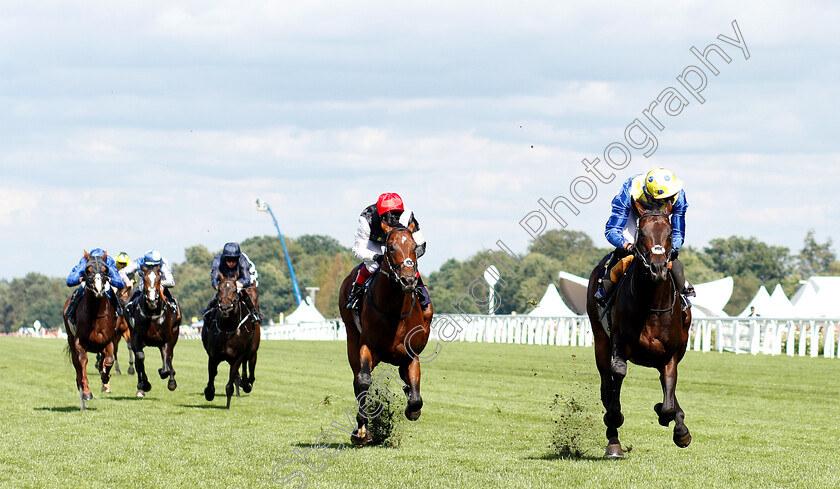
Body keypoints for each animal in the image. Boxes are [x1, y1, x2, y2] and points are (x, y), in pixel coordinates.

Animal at [63, 252, 119, 408]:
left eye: (105, 270)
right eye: (88, 270)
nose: (99, 288)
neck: (95, 314)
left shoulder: (109, 340)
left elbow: (109, 360)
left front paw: (105, 378)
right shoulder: (79, 341)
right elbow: (82, 361)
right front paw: (87, 391)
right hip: (70, 339)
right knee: (77, 364)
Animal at [130, 264, 181, 396]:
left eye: (159, 279)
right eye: (144, 278)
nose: (152, 300)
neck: (152, 314)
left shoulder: (166, 340)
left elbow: (165, 364)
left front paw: (167, 377)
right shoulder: (136, 337)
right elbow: (140, 358)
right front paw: (145, 383)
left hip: (174, 333)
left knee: (169, 357)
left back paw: (171, 379)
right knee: (139, 360)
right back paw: (141, 385)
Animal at [201, 270, 260, 408]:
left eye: (234, 291)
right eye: (219, 290)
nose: (225, 307)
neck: (228, 329)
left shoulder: (238, 356)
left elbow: (233, 378)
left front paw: (228, 403)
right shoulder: (213, 355)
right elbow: (212, 374)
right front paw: (209, 393)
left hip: (251, 353)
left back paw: (246, 384)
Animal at [336, 223, 434, 444]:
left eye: (414, 247)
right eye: (390, 247)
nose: (408, 280)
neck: (394, 312)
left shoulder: (411, 355)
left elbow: (416, 397)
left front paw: (412, 409)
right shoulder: (368, 346)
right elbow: (363, 381)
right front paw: (362, 430)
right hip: (351, 338)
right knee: (357, 380)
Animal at [588, 199, 692, 458]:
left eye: (669, 233)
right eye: (642, 232)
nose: (658, 268)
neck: (651, 306)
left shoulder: (670, 355)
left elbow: (668, 399)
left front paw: (677, 427)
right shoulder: (618, 342)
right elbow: (617, 375)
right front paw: (614, 419)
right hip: (600, 340)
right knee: (607, 383)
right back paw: (613, 441)